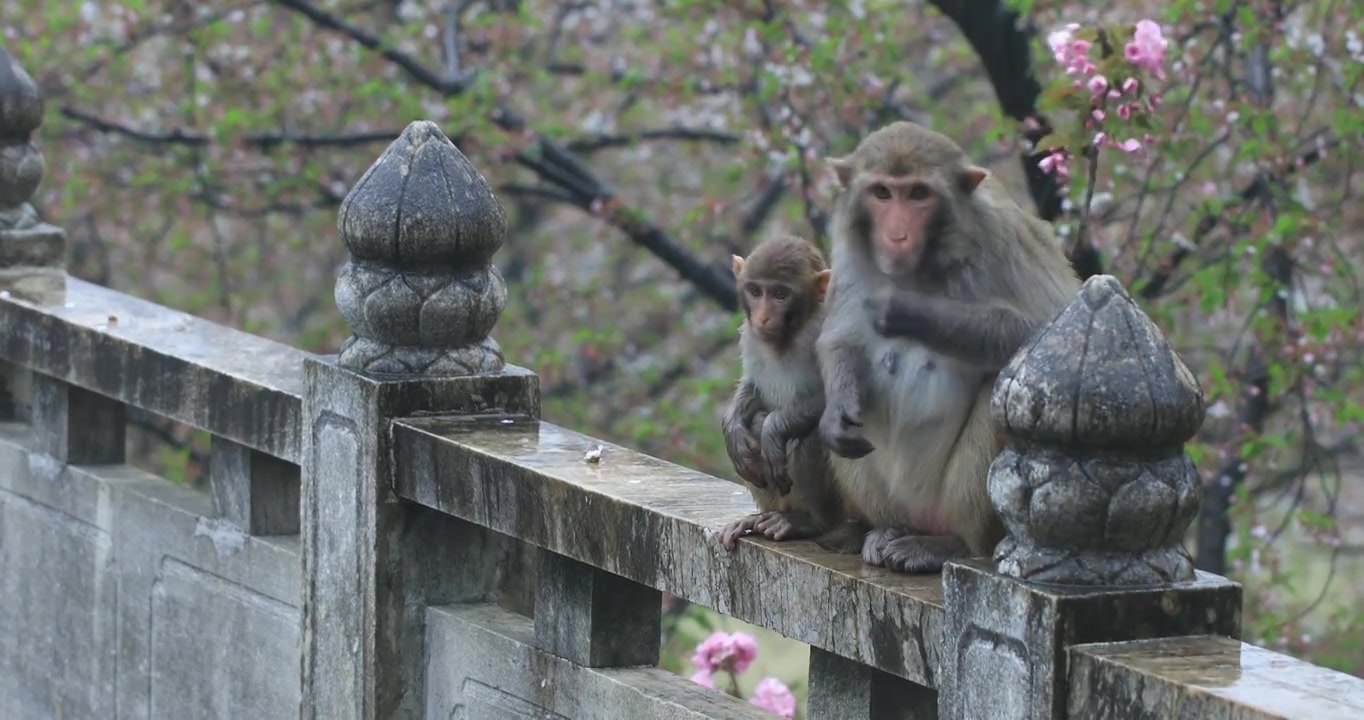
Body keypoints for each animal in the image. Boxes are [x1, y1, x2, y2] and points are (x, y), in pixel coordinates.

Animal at [720, 233, 845, 548]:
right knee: (755, 422)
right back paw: (759, 518)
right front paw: (733, 429)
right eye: (755, 291)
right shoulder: (750, 336)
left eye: (780, 295)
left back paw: (812, 523)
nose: (763, 317)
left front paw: (773, 431)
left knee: (810, 437)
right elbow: (751, 386)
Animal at [812, 122, 1080, 572]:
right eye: (882, 193)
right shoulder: (848, 248)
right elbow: (840, 338)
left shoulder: (1001, 234)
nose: (897, 235)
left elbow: (1049, 331)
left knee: (997, 391)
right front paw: (837, 408)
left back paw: (951, 546)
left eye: (919, 194)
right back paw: (886, 530)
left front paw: (906, 308)